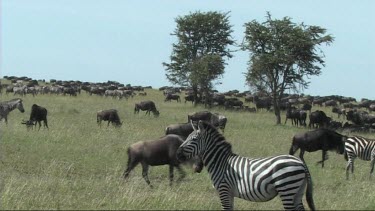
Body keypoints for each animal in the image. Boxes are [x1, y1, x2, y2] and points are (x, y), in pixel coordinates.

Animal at [178, 120, 316, 211]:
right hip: (297, 191)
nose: (178, 154)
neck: (220, 162)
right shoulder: (229, 193)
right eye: (187, 137)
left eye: (193, 139)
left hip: (286, 188)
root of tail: (300, 162)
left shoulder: (223, 189)